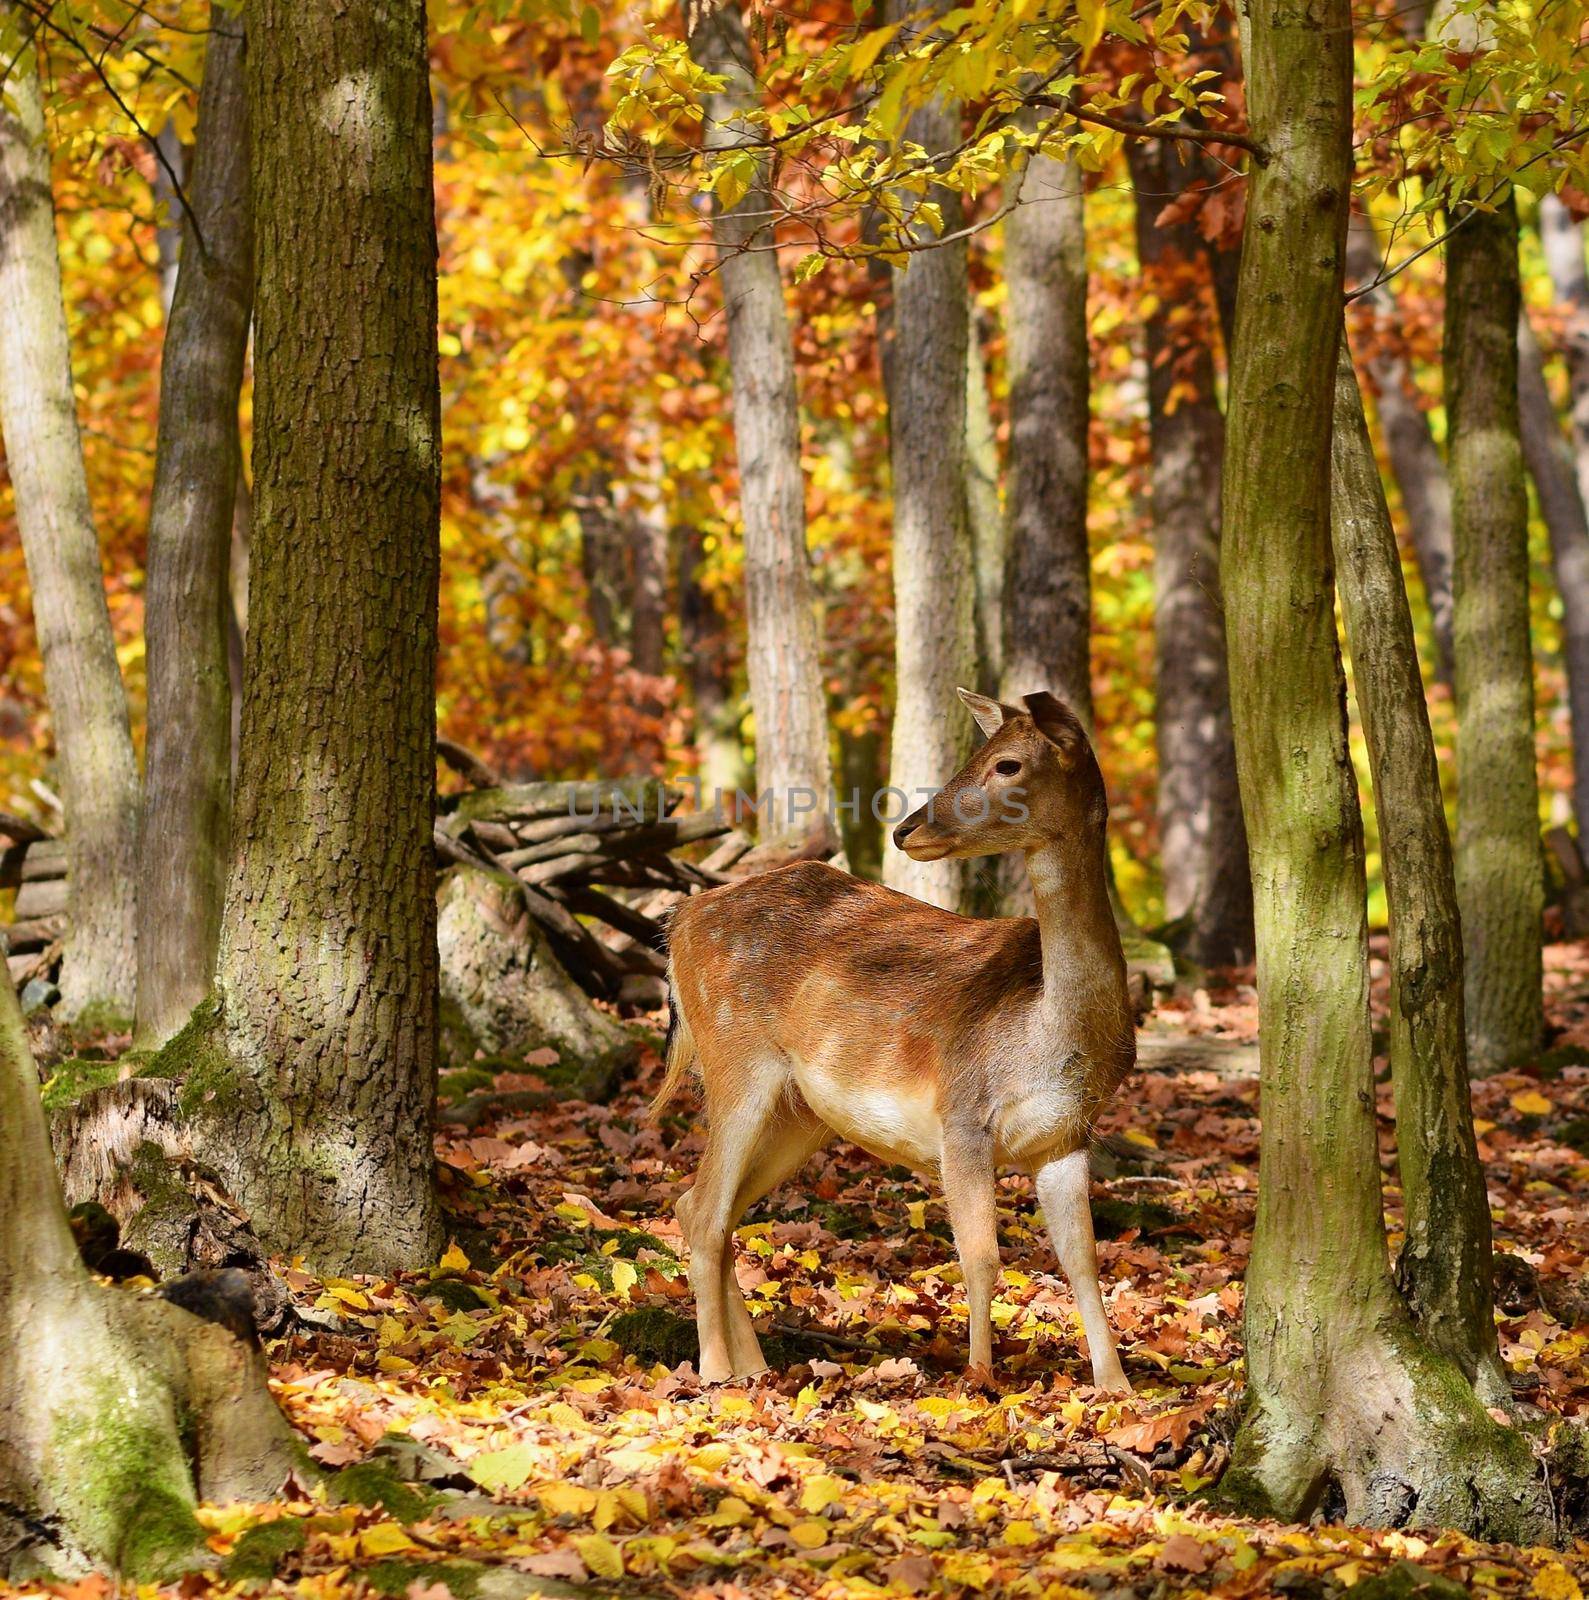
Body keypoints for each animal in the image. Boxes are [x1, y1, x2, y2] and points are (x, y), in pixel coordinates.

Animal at [649, 688, 1132, 1388]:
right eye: (976, 754)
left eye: (1007, 763)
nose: (907, 829)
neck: (1049, 1030)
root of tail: (680, 919)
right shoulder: (963, 1112)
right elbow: (982, 1255)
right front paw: (978, 1381)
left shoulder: (1067, 1136)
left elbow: (1083, 1260)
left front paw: (1115, 1386)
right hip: (734, 1055)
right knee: (707, 1210)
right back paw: (716, 1374)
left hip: (801, 1113)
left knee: (700, 1206)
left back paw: (754, 1366)